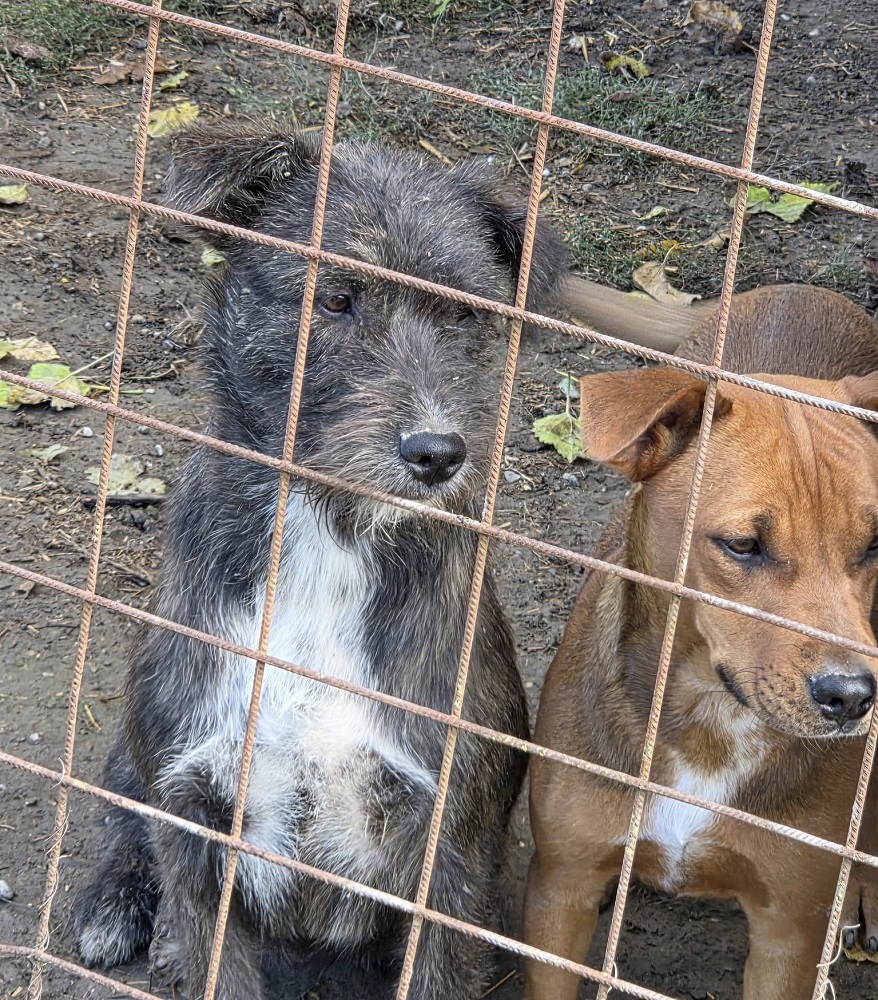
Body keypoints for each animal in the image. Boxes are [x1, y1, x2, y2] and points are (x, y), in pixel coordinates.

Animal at [73, 121, 564, 1000]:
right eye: (335, 298)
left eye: (465, 314)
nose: (438, 454)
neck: (328, 540)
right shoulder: (196, 824)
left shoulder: (451, 856)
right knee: (123, 807)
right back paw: (117, 905)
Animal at [524, 284, 878, 999]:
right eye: (742, 545)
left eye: (876, 545)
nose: (853, 696)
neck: (711, 723)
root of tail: (803, 289)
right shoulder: (560, 893)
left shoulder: (787, 937)